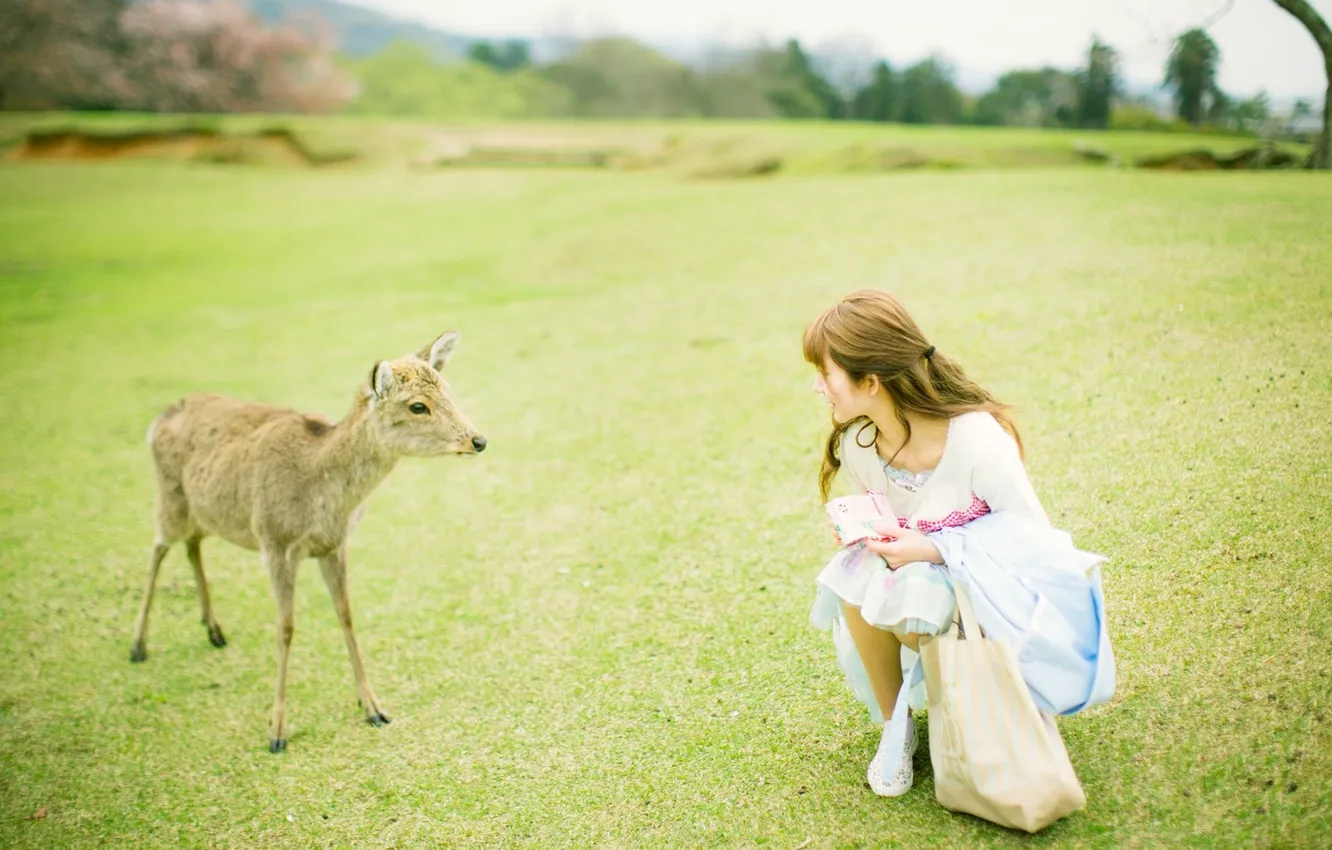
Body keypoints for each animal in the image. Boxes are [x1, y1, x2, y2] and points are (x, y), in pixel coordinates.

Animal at [129, 331, 485, 753]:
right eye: (418, 406)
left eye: (447, 390)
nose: (478, 439)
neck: (324, 493)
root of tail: (158, 419)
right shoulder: (275, 543)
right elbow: (285, 627)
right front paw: (277, 731)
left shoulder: (334, 545)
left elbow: (346, 614)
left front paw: (374, 708)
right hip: (170, 499)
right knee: (157, 547)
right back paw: (138, 646)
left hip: (205, 512)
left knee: (192, 543)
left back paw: (214, 632)